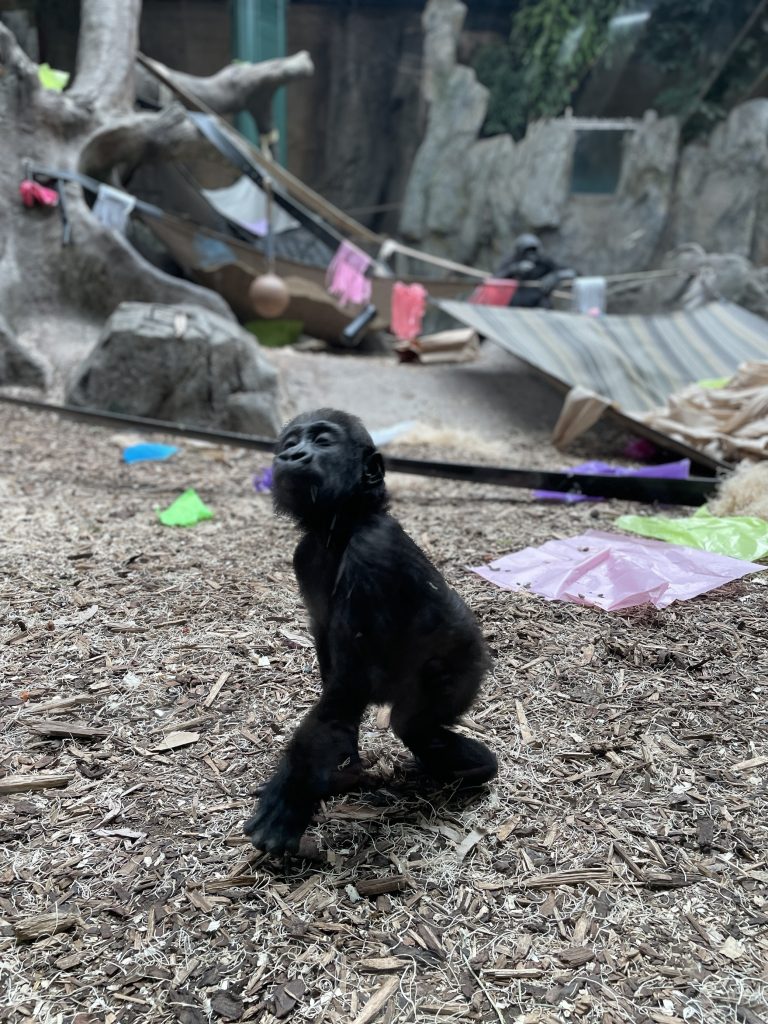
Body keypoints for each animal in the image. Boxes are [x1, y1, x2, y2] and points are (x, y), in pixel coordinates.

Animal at [246, 409, 499, 856]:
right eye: (289, 443)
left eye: (322, 441)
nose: (293, 454)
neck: (343, 524)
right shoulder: (304, 555)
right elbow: (334, 670)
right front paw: (337, 766)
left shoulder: (373, 549)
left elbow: (352, 678)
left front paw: (291, 794)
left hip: (465, 669)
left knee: (415, 723)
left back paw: (475, 768)